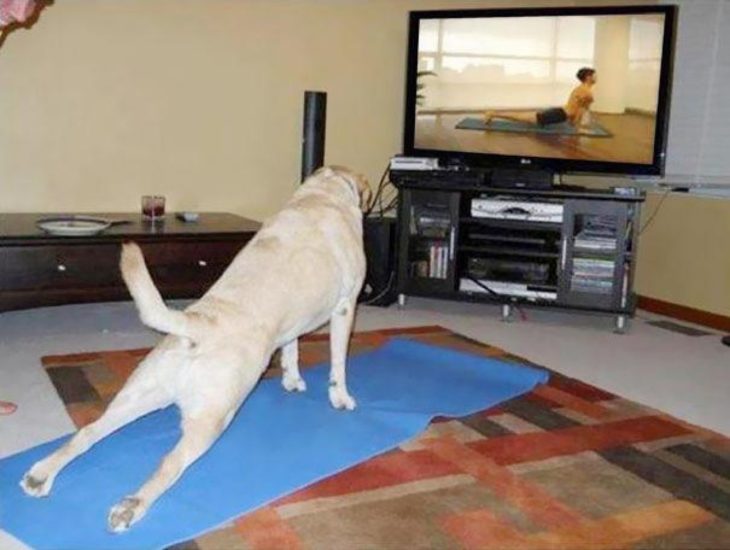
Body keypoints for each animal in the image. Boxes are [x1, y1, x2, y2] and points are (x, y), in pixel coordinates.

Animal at [20, 165, 372, 536]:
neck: (321, 195)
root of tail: (196, 326)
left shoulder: (295, 320)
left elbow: (291, 348)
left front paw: (292, 380)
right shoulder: (346, 307)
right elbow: (338, 363)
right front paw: (341, 397)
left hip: (138, 395)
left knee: (88, 432)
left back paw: (41, 474)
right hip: (213, 417)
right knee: (169, 463)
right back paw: (131, 506)